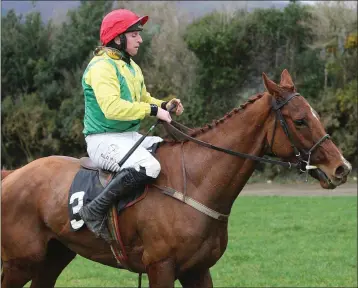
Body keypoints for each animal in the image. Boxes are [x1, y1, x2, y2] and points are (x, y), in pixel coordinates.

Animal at [1, 70, 352, 288]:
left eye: (314, 115)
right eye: (300, 120)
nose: (342, 168)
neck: (195, 182)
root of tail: (12, 175)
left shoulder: (198, 270)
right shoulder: (161, 268)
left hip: (53, 256)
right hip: (20, 262)